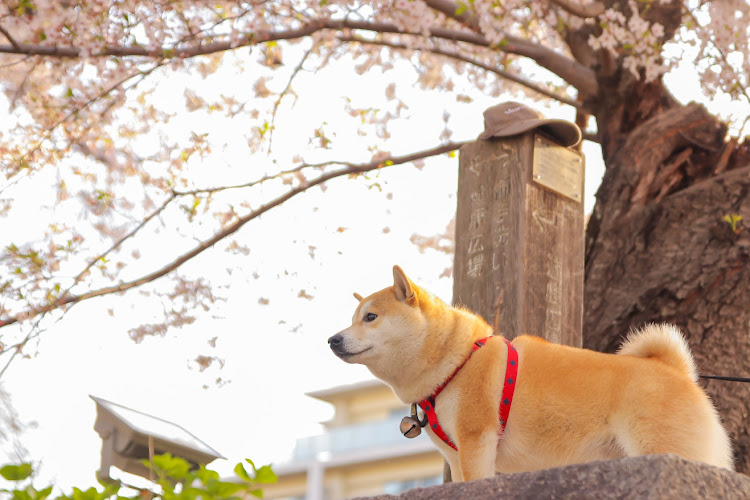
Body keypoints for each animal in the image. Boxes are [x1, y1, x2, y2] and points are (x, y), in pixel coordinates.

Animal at [328, 266, 736, 480]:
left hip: (668, 447)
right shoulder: (455, 457)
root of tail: (673, 369)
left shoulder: (476, 442)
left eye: (371, 317)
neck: (456, 362)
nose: (332, 339)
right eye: (354, 318)